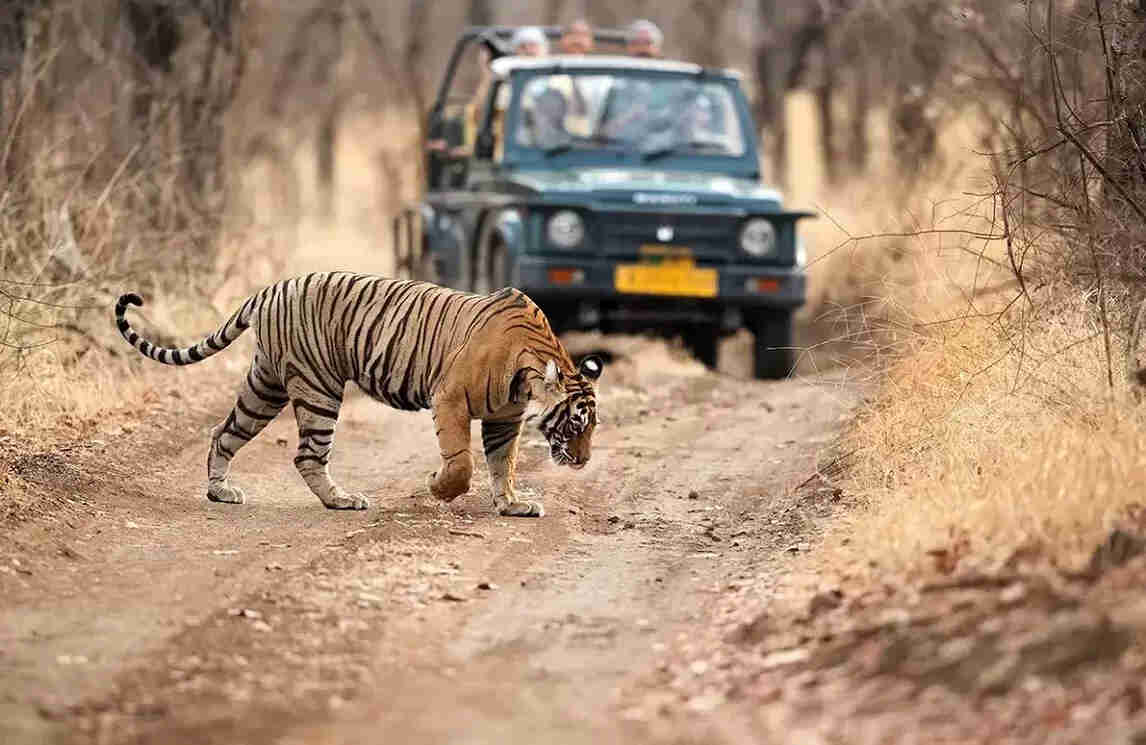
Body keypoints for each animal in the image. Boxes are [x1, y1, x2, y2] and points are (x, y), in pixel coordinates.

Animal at [111, 271, 605, 515]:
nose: (583, 462)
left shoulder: (505, 418)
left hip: (265, 386)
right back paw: (342, 501)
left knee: (223, 432)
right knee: (307, 455)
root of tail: (270, 289)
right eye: (576, 423)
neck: (529, 369)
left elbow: (504, 464)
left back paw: (220, 492)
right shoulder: (449, 398)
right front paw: (439, 487)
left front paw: (512, 504)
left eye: (592, 427)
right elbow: (462, 462)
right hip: (318, 387)